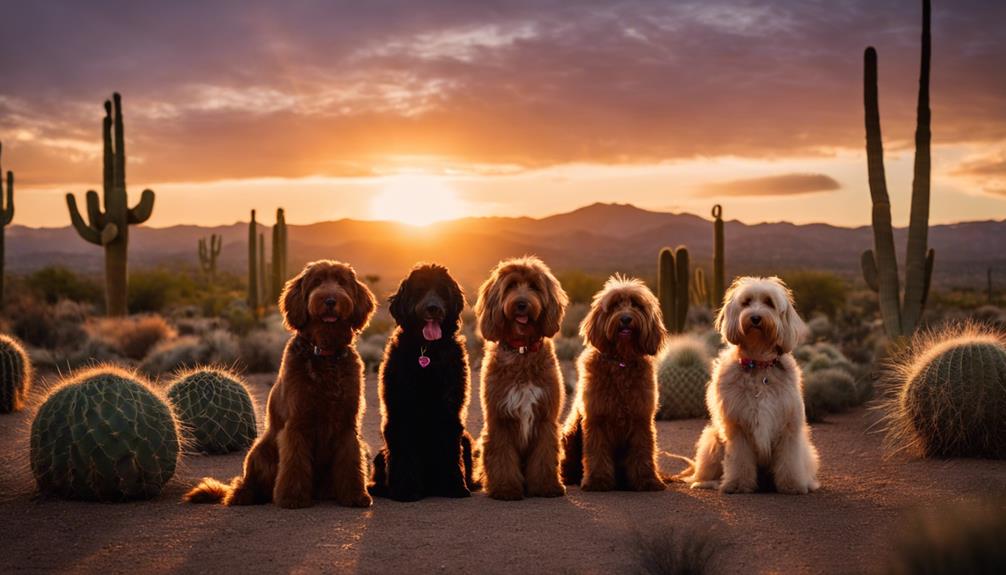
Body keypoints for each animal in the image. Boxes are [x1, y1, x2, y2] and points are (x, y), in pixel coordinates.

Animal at [187, 261, 376, 506]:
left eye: (342, 282)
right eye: (316, 282)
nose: (330, 300)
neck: (324, 353)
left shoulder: (347, 425)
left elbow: (351, 461)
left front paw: (355, 496)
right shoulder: (296, 423)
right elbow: (294, 462)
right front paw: (292, 498)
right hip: (259, 451)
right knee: (244, 485)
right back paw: (245, 495)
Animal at [370, 263, 478, 500]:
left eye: (442, 291)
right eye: (419, 290)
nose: (433, 308)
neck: (427, 350)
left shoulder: (450, 411)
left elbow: (450, 451)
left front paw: (454, 486)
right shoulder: (401, 411)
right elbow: (405, 452)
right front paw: (406, 490)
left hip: (466, 439)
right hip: (381, 453)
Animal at [474, 255, 571, 498]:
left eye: (535, 287)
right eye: (510, 286)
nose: (521, 304)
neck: (522, 351)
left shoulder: (546, 419)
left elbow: (545, 456)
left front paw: (546, 487)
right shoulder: (499, 420)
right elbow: (502, 457)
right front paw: (505, 489)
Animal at [559, 275, 667, 492]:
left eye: (636, 304)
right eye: (615, 305)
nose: (625, 318)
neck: (621, 361)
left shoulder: (641, 419)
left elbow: (643, 450)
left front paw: (647, 480)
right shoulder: (596, 418)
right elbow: (597, 452)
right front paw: (597, 481)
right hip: (570, 434)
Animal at [676, 275, 816, 492]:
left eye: (769, 302)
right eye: (747, 302)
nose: (755, 318)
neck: (758, 364)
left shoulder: (788, 425)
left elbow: (789, 460)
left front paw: (792, 485)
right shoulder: (737, 426)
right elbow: (740, 459)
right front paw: (738, 484)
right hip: (712, 440)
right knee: (704, 472)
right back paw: (706, 482)